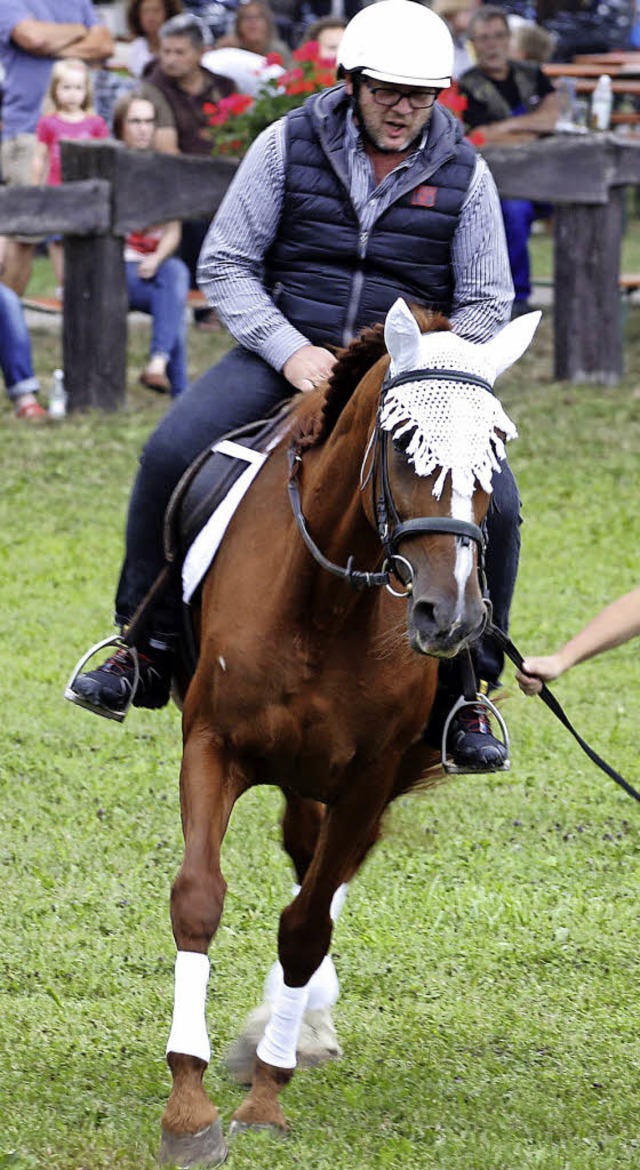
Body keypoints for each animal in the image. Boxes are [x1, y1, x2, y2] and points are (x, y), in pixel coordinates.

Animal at [157, 297, 538, 1165]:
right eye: (403, 443)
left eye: (495, 449)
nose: (449, 615)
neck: (326, 603)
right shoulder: (213, 745)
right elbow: (199, 897)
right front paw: (188, 1107)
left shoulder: (369, 778)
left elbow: (306, 927)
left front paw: (267, 1097)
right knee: (306, 856)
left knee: (324, 885)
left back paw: (292, 1027)